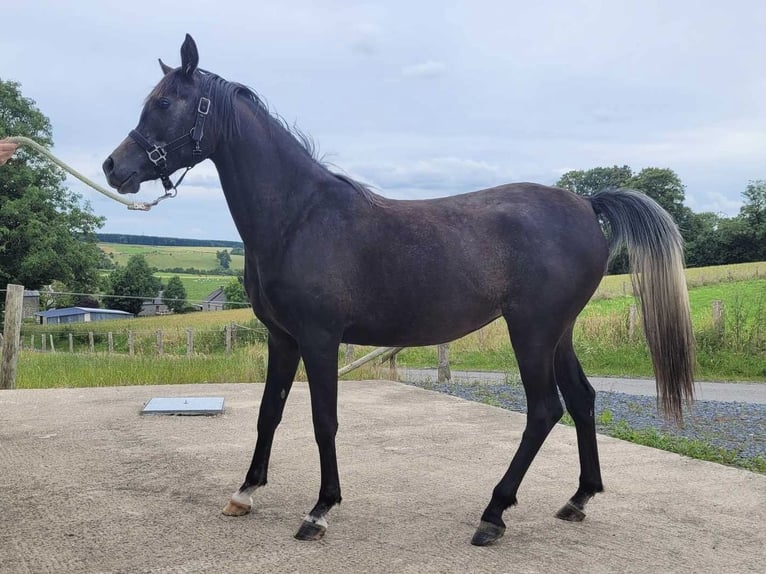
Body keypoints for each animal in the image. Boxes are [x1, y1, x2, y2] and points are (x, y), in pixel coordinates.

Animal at [102, 33, 696, 548]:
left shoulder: (320, 339)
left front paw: (320, 510)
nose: (113, 166)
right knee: (582, 399)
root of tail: (586, 204)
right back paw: (577, 500)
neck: (299, 216)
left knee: (545, 410)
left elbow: (323, 421)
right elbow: (269, 412)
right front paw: (245, 492)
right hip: (559, 333)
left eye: (167, 103)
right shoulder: (283, 339)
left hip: (532, 331)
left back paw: (494, 514)